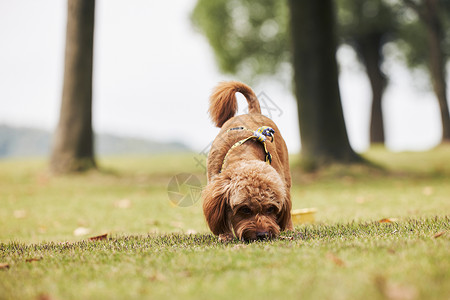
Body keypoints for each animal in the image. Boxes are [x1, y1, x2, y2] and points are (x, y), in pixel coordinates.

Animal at [202, 81, 294, 241]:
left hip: (286, 175)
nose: (263, 235)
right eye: (244, 209)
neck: (242, 152)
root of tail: (253, 112)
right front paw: (225, 235)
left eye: (271, 208)